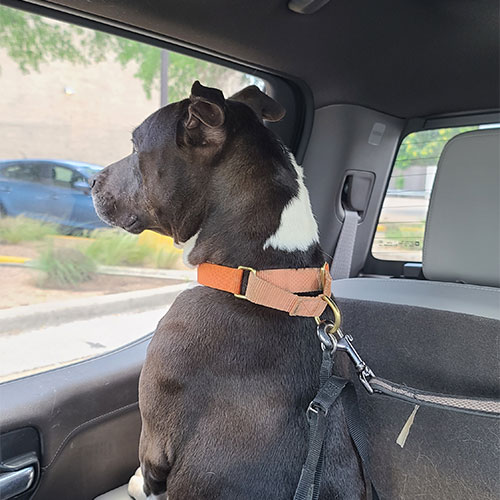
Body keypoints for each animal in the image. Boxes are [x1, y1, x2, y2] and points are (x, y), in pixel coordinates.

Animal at [91, 80, 364, 498]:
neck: (262, 277)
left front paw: (136, 484)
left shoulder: (155, 437)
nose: (89, 180)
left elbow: (149, 475)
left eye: (135, 147)